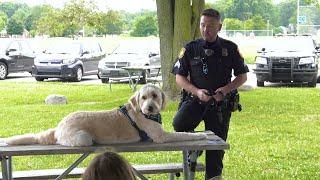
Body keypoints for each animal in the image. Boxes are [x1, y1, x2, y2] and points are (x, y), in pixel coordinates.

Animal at [1, 84, 209, 146]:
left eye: (155, 96)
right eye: (143, 98)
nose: (149, 108)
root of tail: (58, 127)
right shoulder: (161, 136)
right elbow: (184, 134)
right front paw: (200, 135)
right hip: (83, 137)